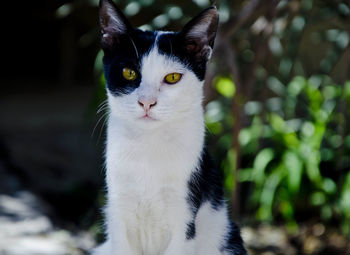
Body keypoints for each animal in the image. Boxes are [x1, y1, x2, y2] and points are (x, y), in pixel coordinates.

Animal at [91, 0, 247, 255]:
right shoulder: (118, 212)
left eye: (172, 77)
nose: (147, 102)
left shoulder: (185, 217)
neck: (149, 146)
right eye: (129, 73)